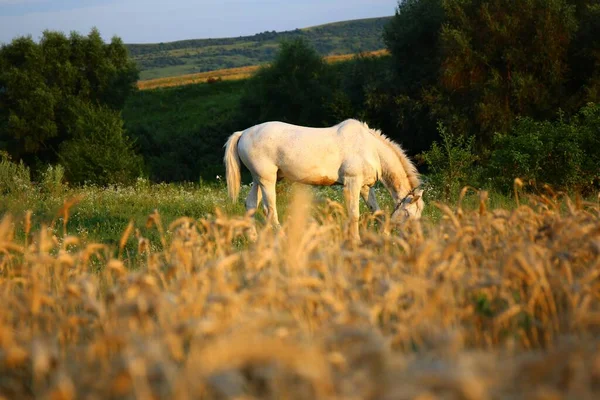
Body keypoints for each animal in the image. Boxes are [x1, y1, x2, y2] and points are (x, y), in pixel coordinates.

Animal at [223, 118, 424, 241]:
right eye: (408, 214)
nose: (414, 238)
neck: (371, 148)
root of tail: (243, 133)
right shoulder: (352, 183)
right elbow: (354, 214)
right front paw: (356, 241)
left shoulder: (366, 187)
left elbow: (377, 212)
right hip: (267, 180)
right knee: (270, 210)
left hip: (258, 180)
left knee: (250, 204)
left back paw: (253, 239)